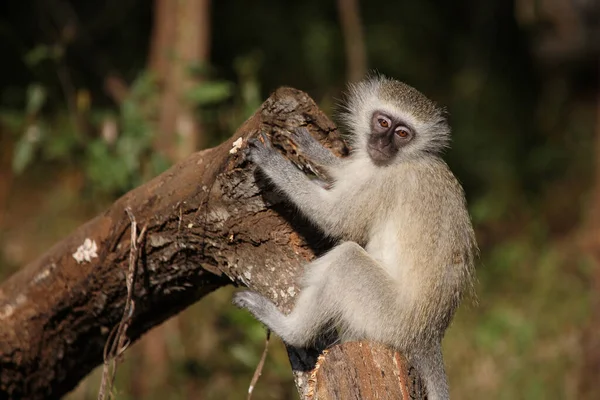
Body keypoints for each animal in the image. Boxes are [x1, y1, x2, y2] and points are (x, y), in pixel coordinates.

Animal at [234, 76, 478, 400]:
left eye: (402, 133)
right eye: (383, 122)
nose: (382, 144)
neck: (404, 159)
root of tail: (426, 337)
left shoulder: (384, 183)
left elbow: (336, 219)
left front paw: (272, 162)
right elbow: (344, 176)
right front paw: (315, 149)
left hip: (383, 318)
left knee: (346, 260)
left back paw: (291, 330)